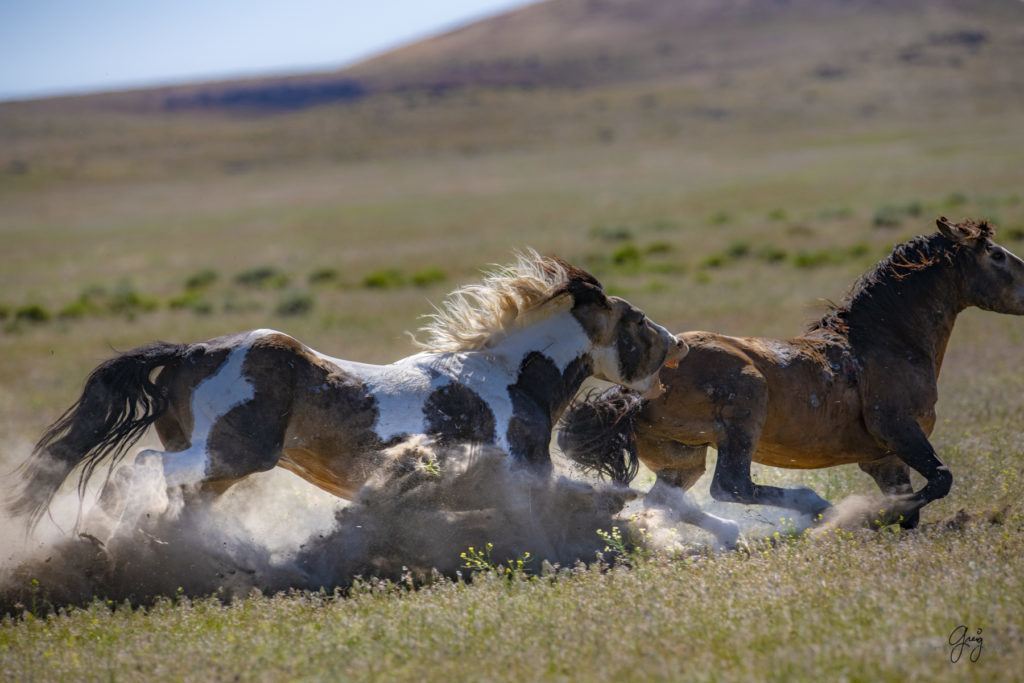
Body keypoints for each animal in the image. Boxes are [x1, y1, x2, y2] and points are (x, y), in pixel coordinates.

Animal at [9, 252, 688, 532]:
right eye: (634, 319)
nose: (677, 345)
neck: (511, 376)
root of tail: (192, 353)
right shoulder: (524, 473)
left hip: (218, 467)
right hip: (232, 453)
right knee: (138, 470)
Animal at [561, 219, 1024, 544]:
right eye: (996, 255)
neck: (887, 340)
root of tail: (632, 392)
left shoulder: (884, 457)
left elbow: (911, 507)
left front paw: (885, 519)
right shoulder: (899, 429)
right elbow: (939, 480)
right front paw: (868, 517)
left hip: (682, 457)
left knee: (667, 501)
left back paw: (732, 536)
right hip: (744, 409)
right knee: (732, 486)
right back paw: (817, 508)